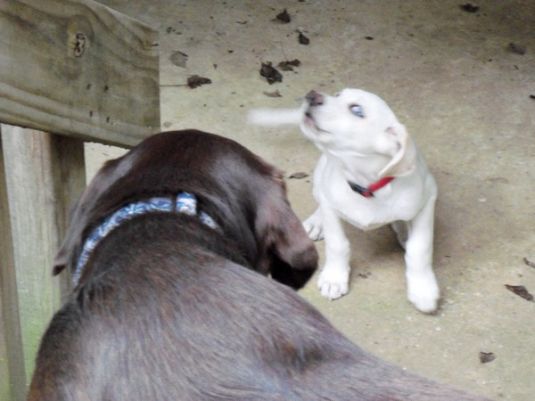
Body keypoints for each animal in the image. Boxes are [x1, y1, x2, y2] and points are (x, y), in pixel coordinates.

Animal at [249, 89, 442, 314]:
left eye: (357, 110)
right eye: (338, 94)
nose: (312, 95)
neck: (366, 187)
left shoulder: (428, 199)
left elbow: (419, 248)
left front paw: (423, 288)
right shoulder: (331, 207)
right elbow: (337, 243)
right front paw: (334, 277)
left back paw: (403, 230)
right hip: (320, 179)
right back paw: (316, 223)